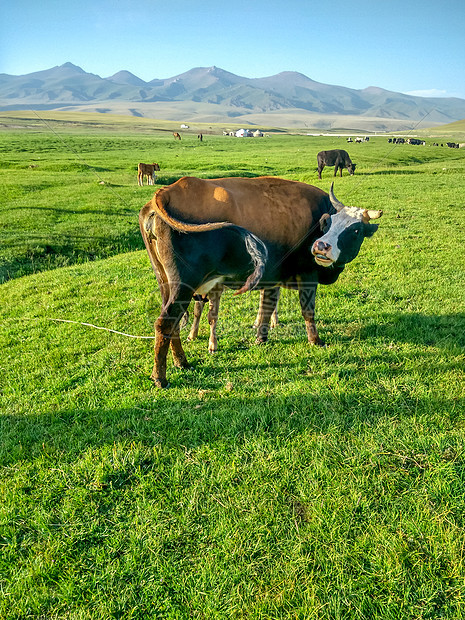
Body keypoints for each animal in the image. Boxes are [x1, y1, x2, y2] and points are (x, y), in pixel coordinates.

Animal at [138, 176, 380, 388]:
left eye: (355, 229)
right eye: (329, 223)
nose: (321, 246)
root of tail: (165, 192)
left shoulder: (272, 278)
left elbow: (267, 307)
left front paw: (261, 337)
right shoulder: (308, 275)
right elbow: (307, 311)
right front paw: (315, 340)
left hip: (166, 284)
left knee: (173, 324)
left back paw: (182, 362)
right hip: (184, 287)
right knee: (166, 323)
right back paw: (160, 377)